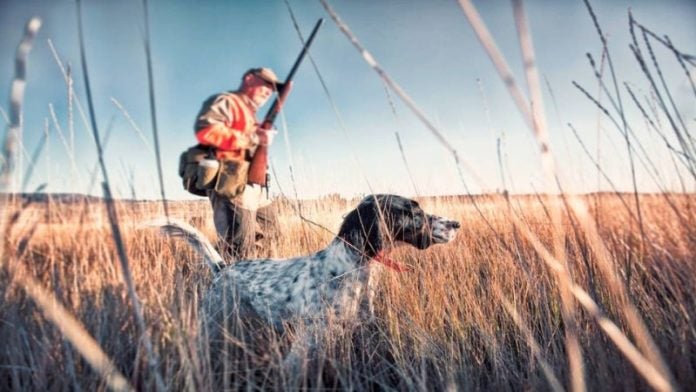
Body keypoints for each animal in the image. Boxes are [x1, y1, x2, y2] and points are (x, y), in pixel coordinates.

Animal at [158, 195, 462, 374]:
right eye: (413, 211)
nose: (456, 224)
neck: (348, 268)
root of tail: (223, 268)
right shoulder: (305, 344)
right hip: (211, 324)